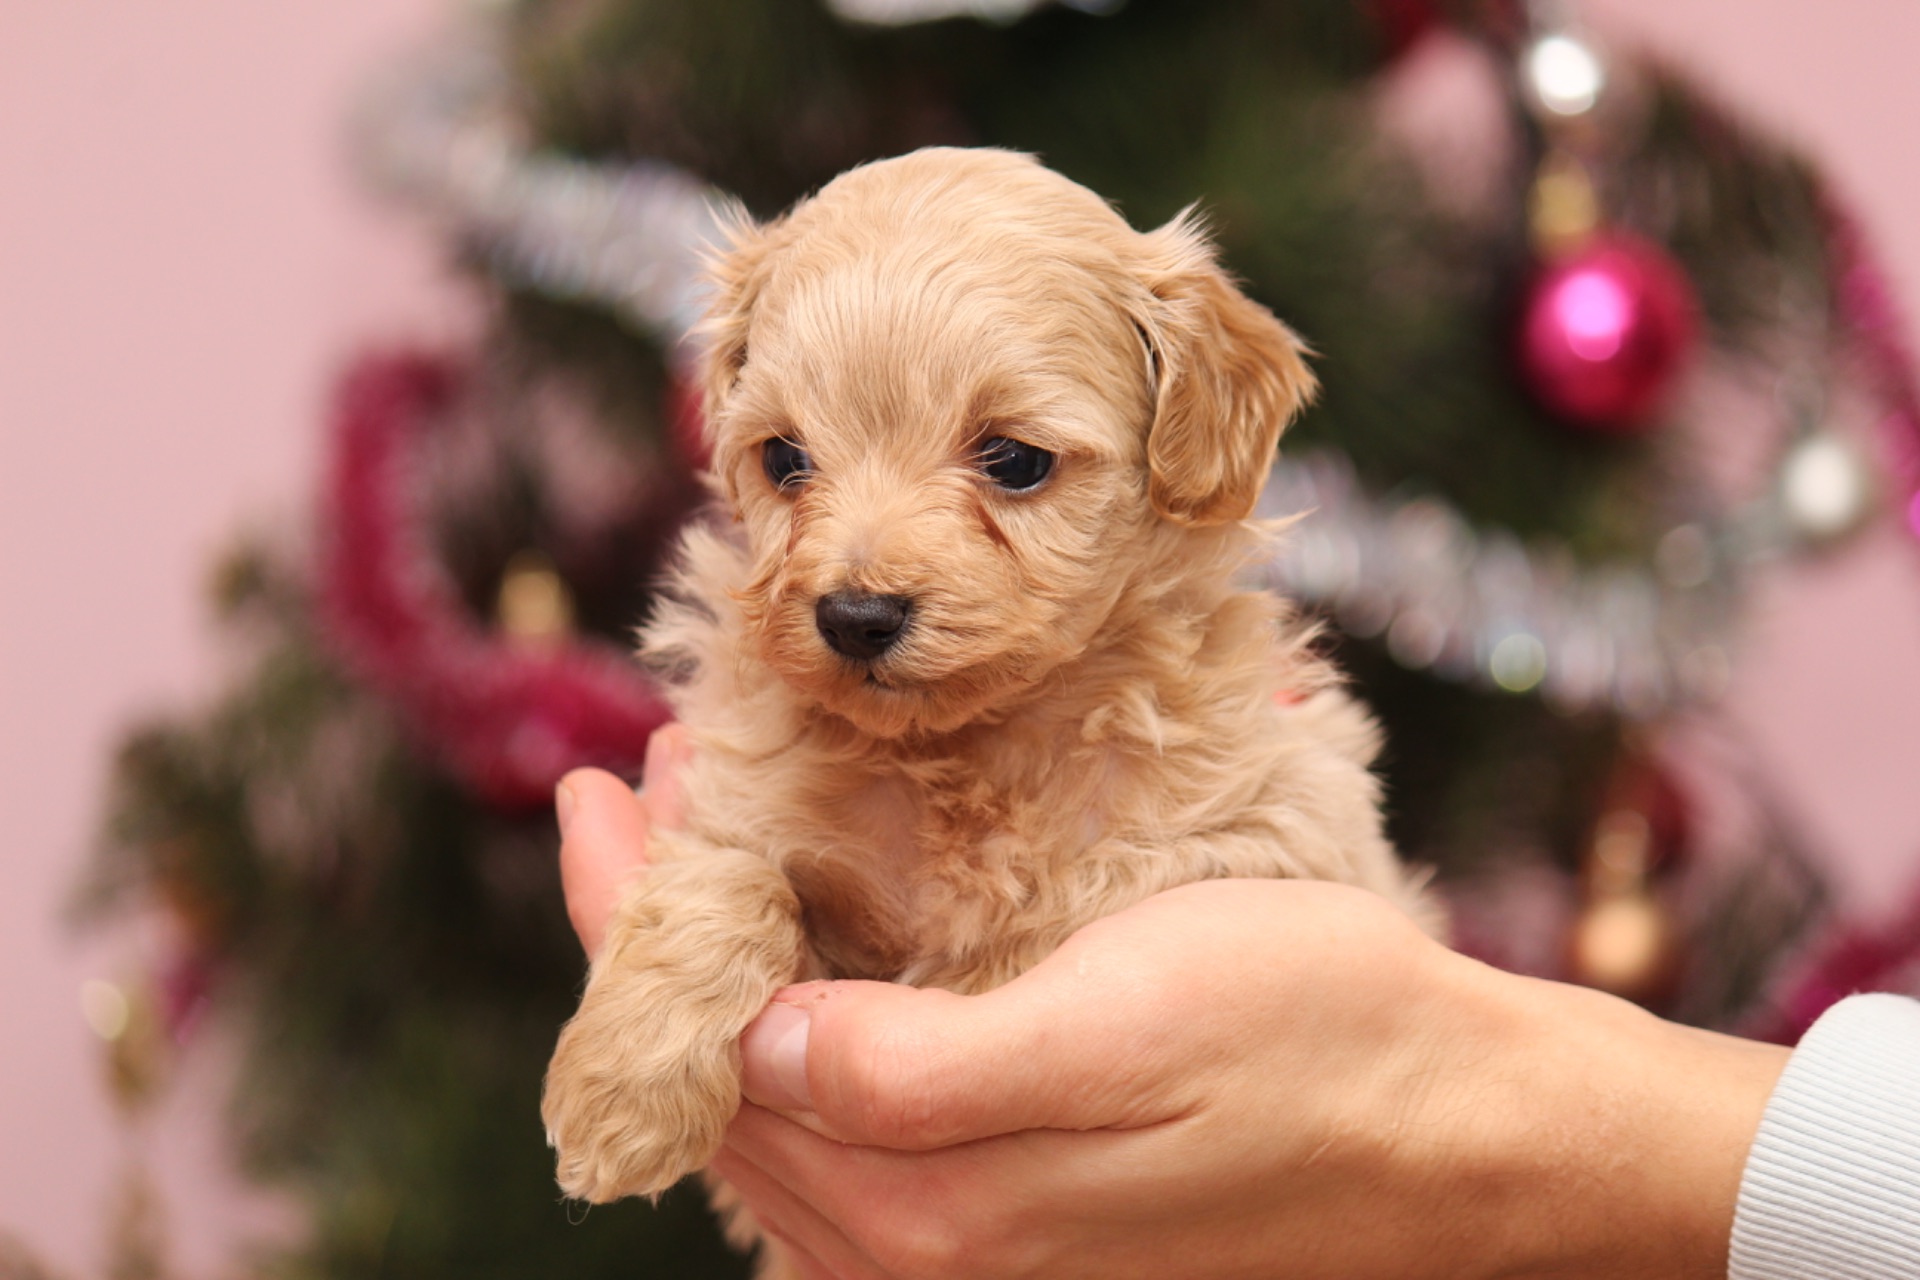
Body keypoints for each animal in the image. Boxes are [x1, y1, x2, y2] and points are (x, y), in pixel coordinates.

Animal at [537, 147, 1428, 1258]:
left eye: (1013, 460)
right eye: (784, 458)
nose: (856, 614)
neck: (958, 750)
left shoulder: (1274, 827)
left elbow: (1068, 910)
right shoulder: (735, 794)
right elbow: (729, 881)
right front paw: (625, 1092)